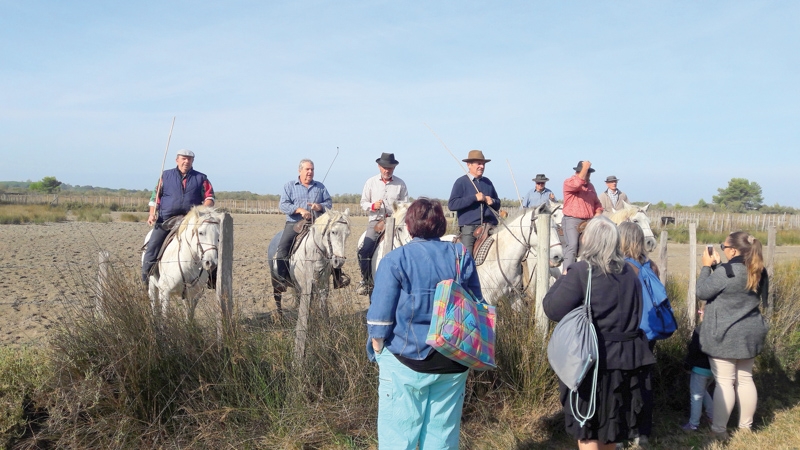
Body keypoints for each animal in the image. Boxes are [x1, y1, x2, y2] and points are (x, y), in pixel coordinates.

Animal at [268, 209, 350, 360]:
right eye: (333, 232)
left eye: (347, 234)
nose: (339, 262)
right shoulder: (306, 286)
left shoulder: (323, 287)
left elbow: (323, 310)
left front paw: (327, 334)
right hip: (276, 281)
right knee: (277, 298)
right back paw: (280, 320)